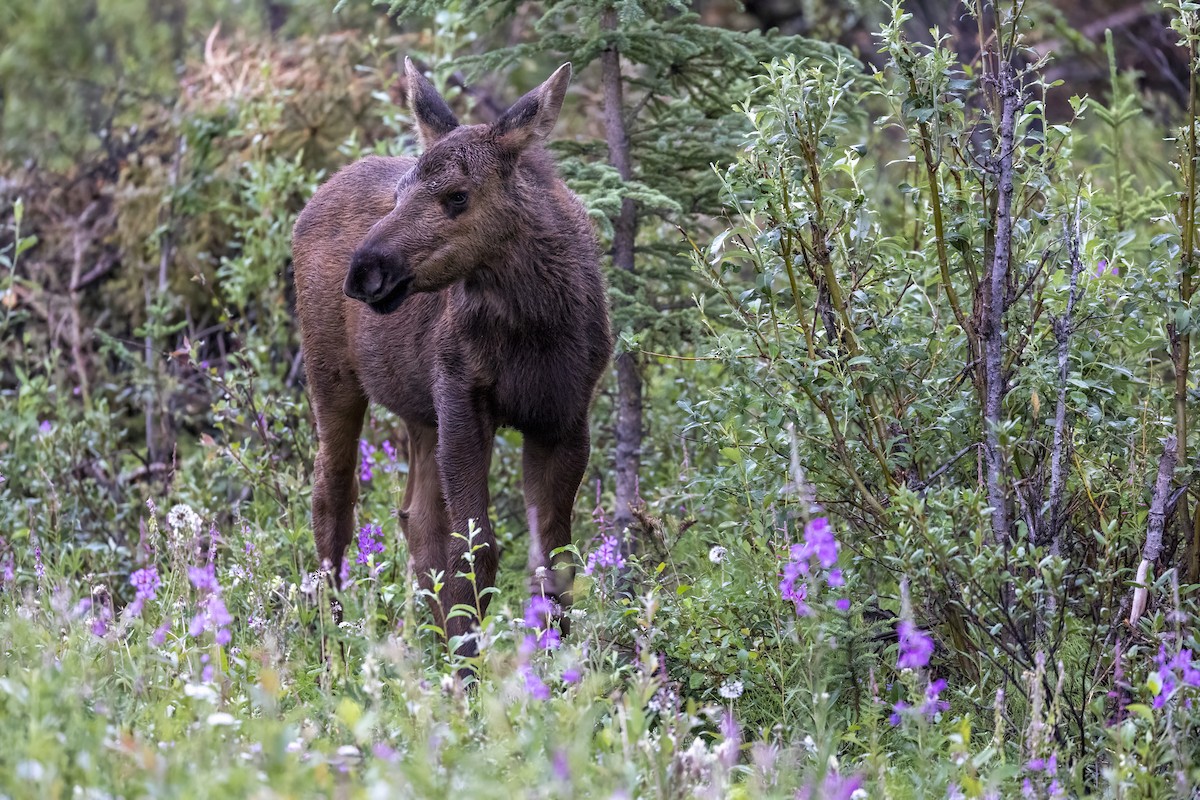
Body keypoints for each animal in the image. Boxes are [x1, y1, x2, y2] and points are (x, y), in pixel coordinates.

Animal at [291, 59, 612, 660]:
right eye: (399, 195)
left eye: (458, 196)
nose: (363, 271)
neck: (537, 326)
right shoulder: (463, 396)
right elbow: (475, 551)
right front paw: (469, 671)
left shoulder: (565, 416)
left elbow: (552, 564)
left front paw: (551, 666)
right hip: (332, 374)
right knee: (332, 500)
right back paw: (333, 652)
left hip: (419, 408)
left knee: (415, 521)